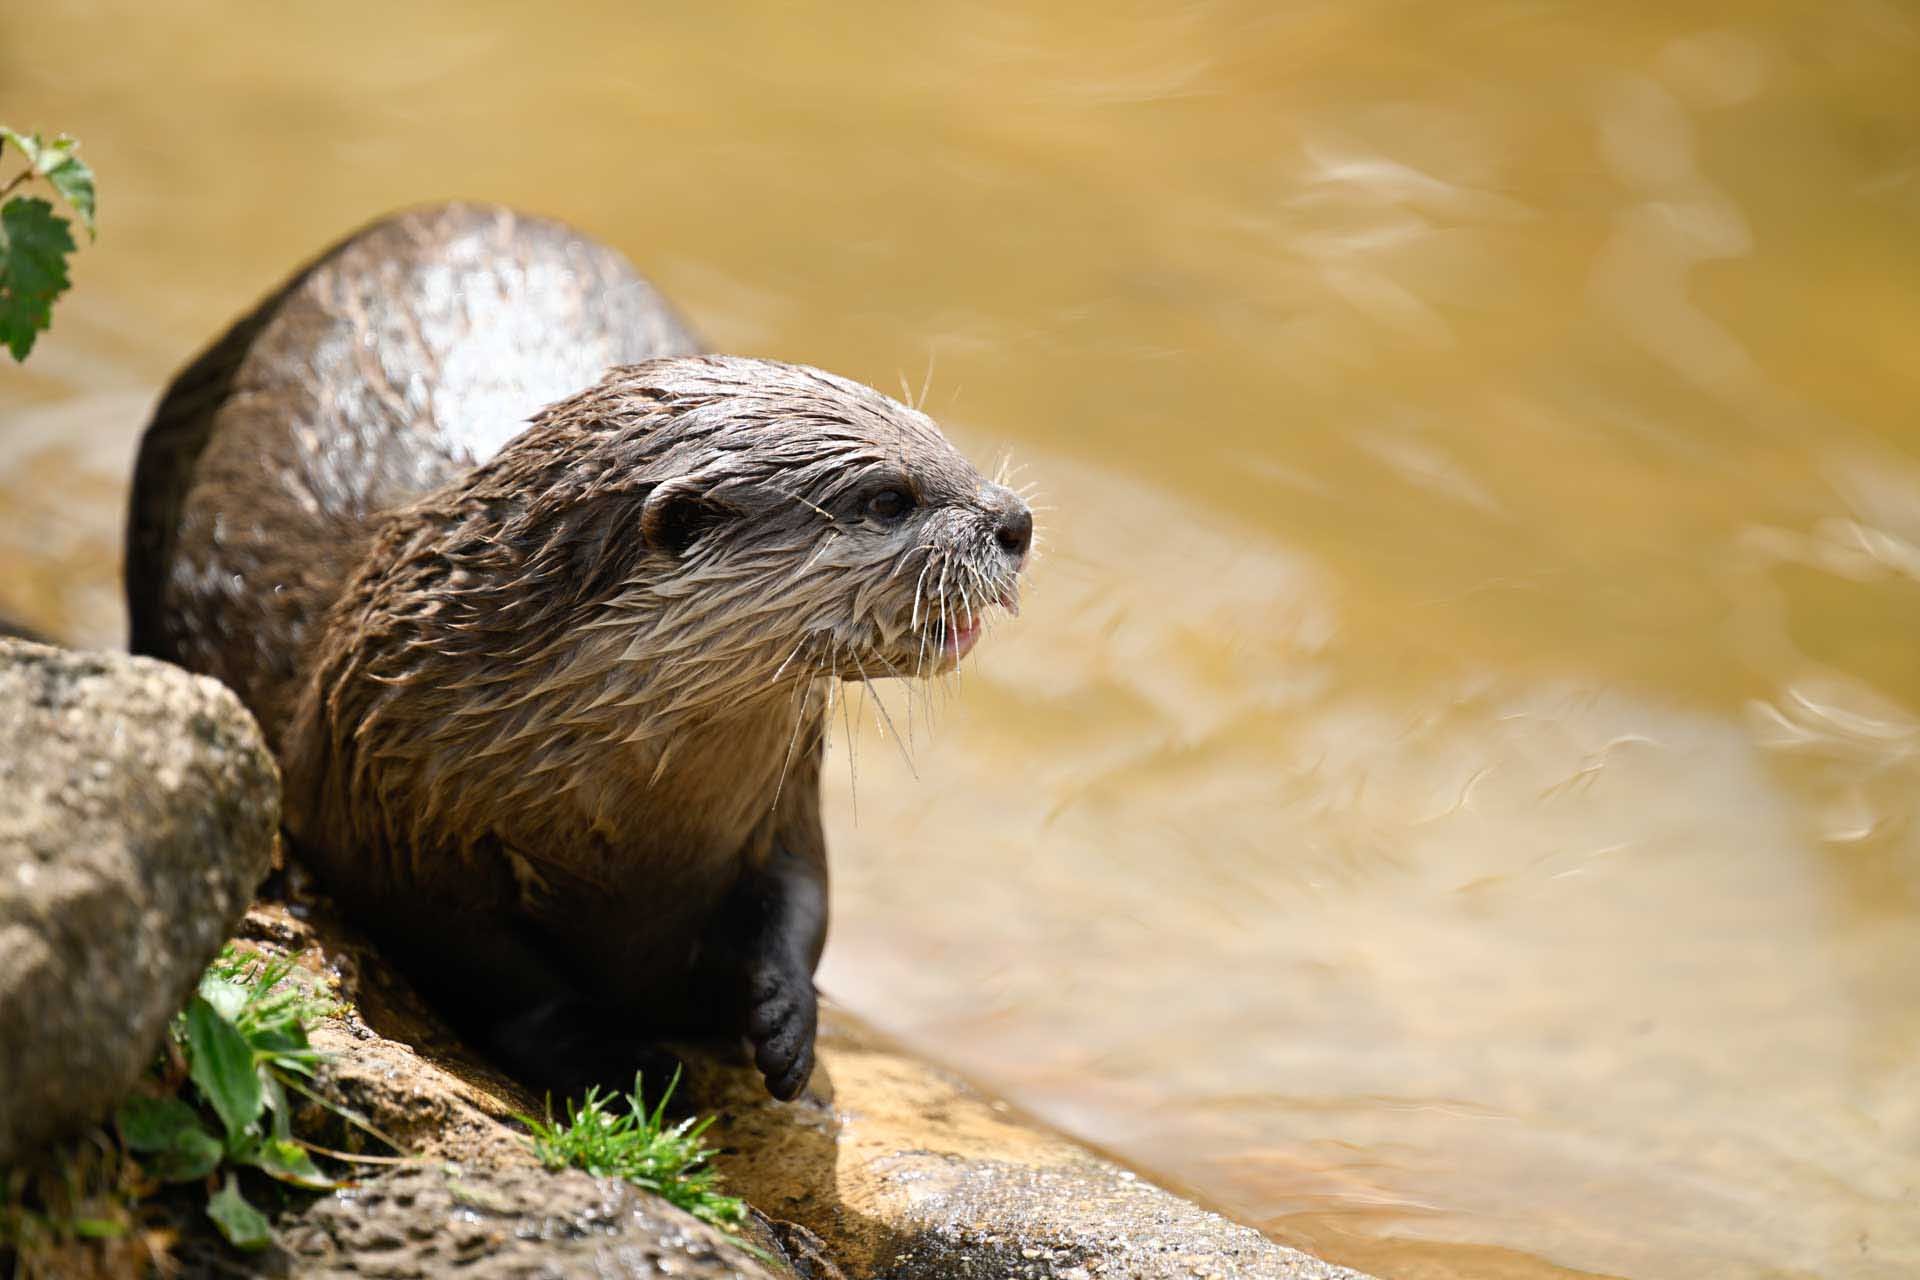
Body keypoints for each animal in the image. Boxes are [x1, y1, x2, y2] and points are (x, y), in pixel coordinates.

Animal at [125, 203, 1030, 1100]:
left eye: (943, 440)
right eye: (888, 498)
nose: (1014, 520)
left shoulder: (787, 790)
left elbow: (803, 892)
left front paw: (784, 1019)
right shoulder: (384, 802)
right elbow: (487, 965)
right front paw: (618, 1065)